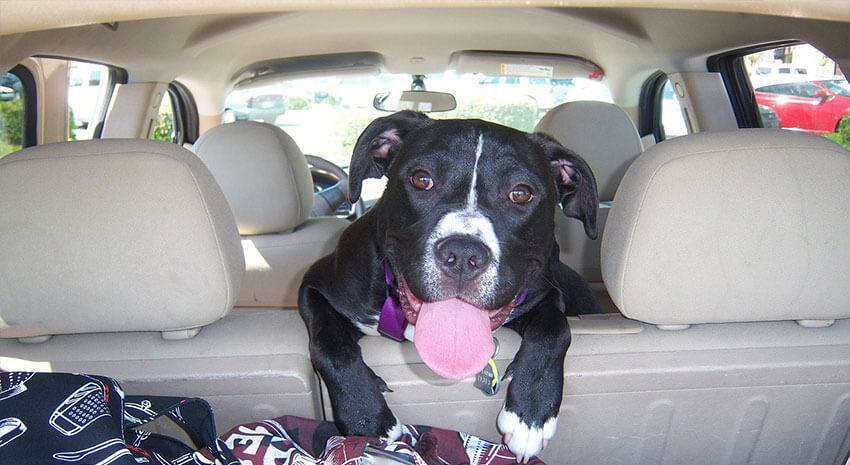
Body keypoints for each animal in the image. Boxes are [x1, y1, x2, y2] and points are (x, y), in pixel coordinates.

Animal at [298, 109, 596, 460]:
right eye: (422, 179)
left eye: (521, 193)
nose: (464, 254)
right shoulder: (316, 286)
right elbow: (329, 345)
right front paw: (365, 418)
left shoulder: (544, 294)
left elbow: (555, 329)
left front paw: (531, 414)